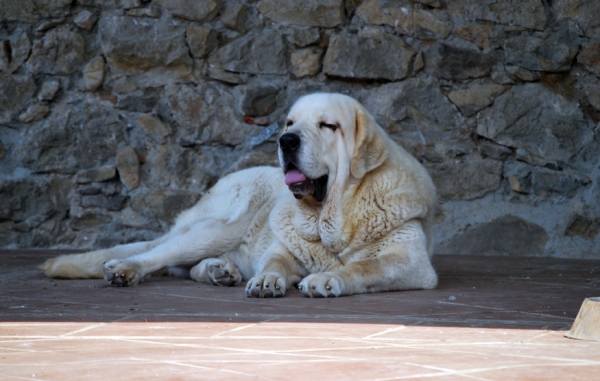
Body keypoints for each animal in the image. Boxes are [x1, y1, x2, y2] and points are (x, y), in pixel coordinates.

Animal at [39, 93, 438, 296]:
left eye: (328, 125)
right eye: (290, 122)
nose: (286, 140)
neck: (333, 215)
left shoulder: (411, 262)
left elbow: (364, 266)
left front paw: (328, 278)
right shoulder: (283, 245)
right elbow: (275, 260)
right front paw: (268, 279)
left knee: (185, 267)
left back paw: (219, 271)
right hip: (220, 226)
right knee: (157, 255)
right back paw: (125, 269)